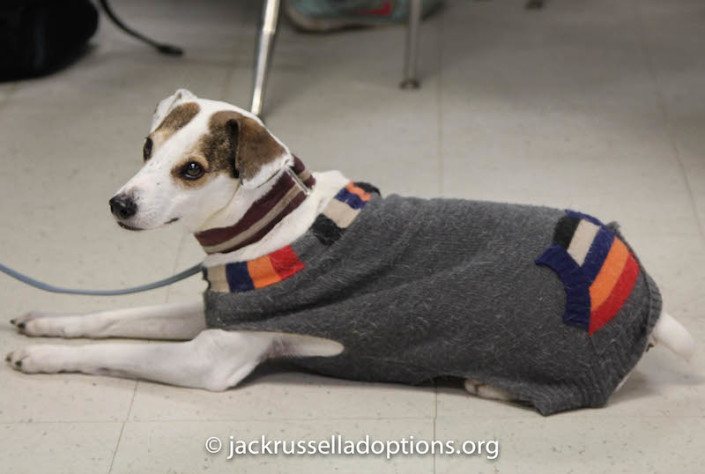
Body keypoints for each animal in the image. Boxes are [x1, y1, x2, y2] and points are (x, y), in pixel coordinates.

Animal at [6, 89, 692, 414]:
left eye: (192, 169)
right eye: (147, 148)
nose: (118, 204)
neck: (270, 222)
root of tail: (649, 299)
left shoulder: (210, 359)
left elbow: (114, 350)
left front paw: (39, 358)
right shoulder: (216, 312)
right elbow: (110, 318)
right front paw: (44, 321)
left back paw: (489, 385)